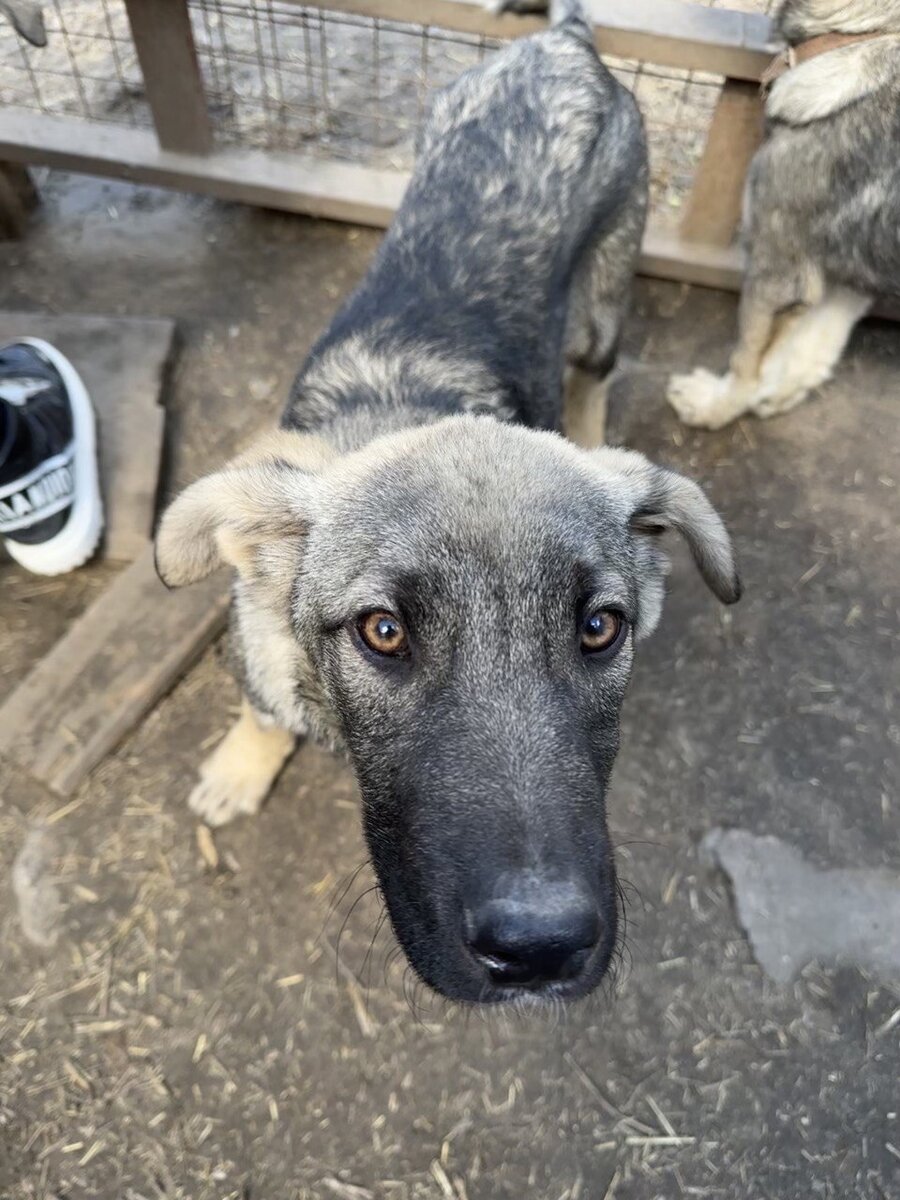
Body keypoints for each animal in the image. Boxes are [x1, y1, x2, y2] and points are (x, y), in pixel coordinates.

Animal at [156, 0, 740, 1004]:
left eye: (601, 628)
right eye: (382, 631)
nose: (541, 949)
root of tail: (567, 41)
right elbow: (262, 703)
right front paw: (243, 763)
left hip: (602, 296)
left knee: (599, 369)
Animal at [668, 0, 900, 430]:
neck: (868, 32)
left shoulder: (777, 269)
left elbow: (746, 360)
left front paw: (717, 406)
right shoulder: (847, 275)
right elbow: (814, 343)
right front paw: (776, 393)